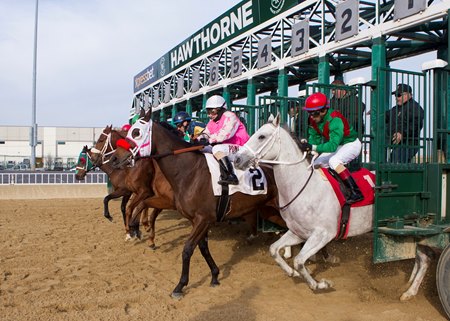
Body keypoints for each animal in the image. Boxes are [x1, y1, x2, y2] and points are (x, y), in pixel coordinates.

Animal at [232, 114, 432, 300]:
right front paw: (291, 272)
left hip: (414, 226)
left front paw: (320, 284)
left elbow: (299, 261)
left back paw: (410, 291)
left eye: (261, 136)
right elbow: (274, 250)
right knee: (420, 257)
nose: (236, 159)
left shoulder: (323, 234)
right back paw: (409, 285)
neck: (304, 188)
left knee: (424, 258)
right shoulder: (299, 232)